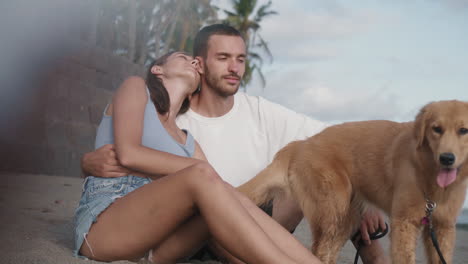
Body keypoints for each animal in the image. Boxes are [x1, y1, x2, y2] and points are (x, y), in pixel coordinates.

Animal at [239, 100, 468, 262]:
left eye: (463, 130)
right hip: (332, 212)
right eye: (436, 129)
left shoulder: (443, 228)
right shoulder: (405, 224)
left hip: (346, 220)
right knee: (317, 252)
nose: (447, 158)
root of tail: (301, 143)